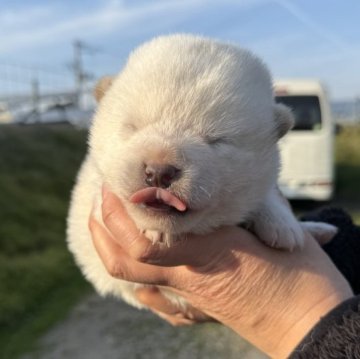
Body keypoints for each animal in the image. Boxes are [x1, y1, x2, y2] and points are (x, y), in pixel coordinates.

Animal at [67, 33, 334, 310]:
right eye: (132, 127)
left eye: (216, 140)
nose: (159, 171)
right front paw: (157, 230)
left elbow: (264, 193)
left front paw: (281, 223)